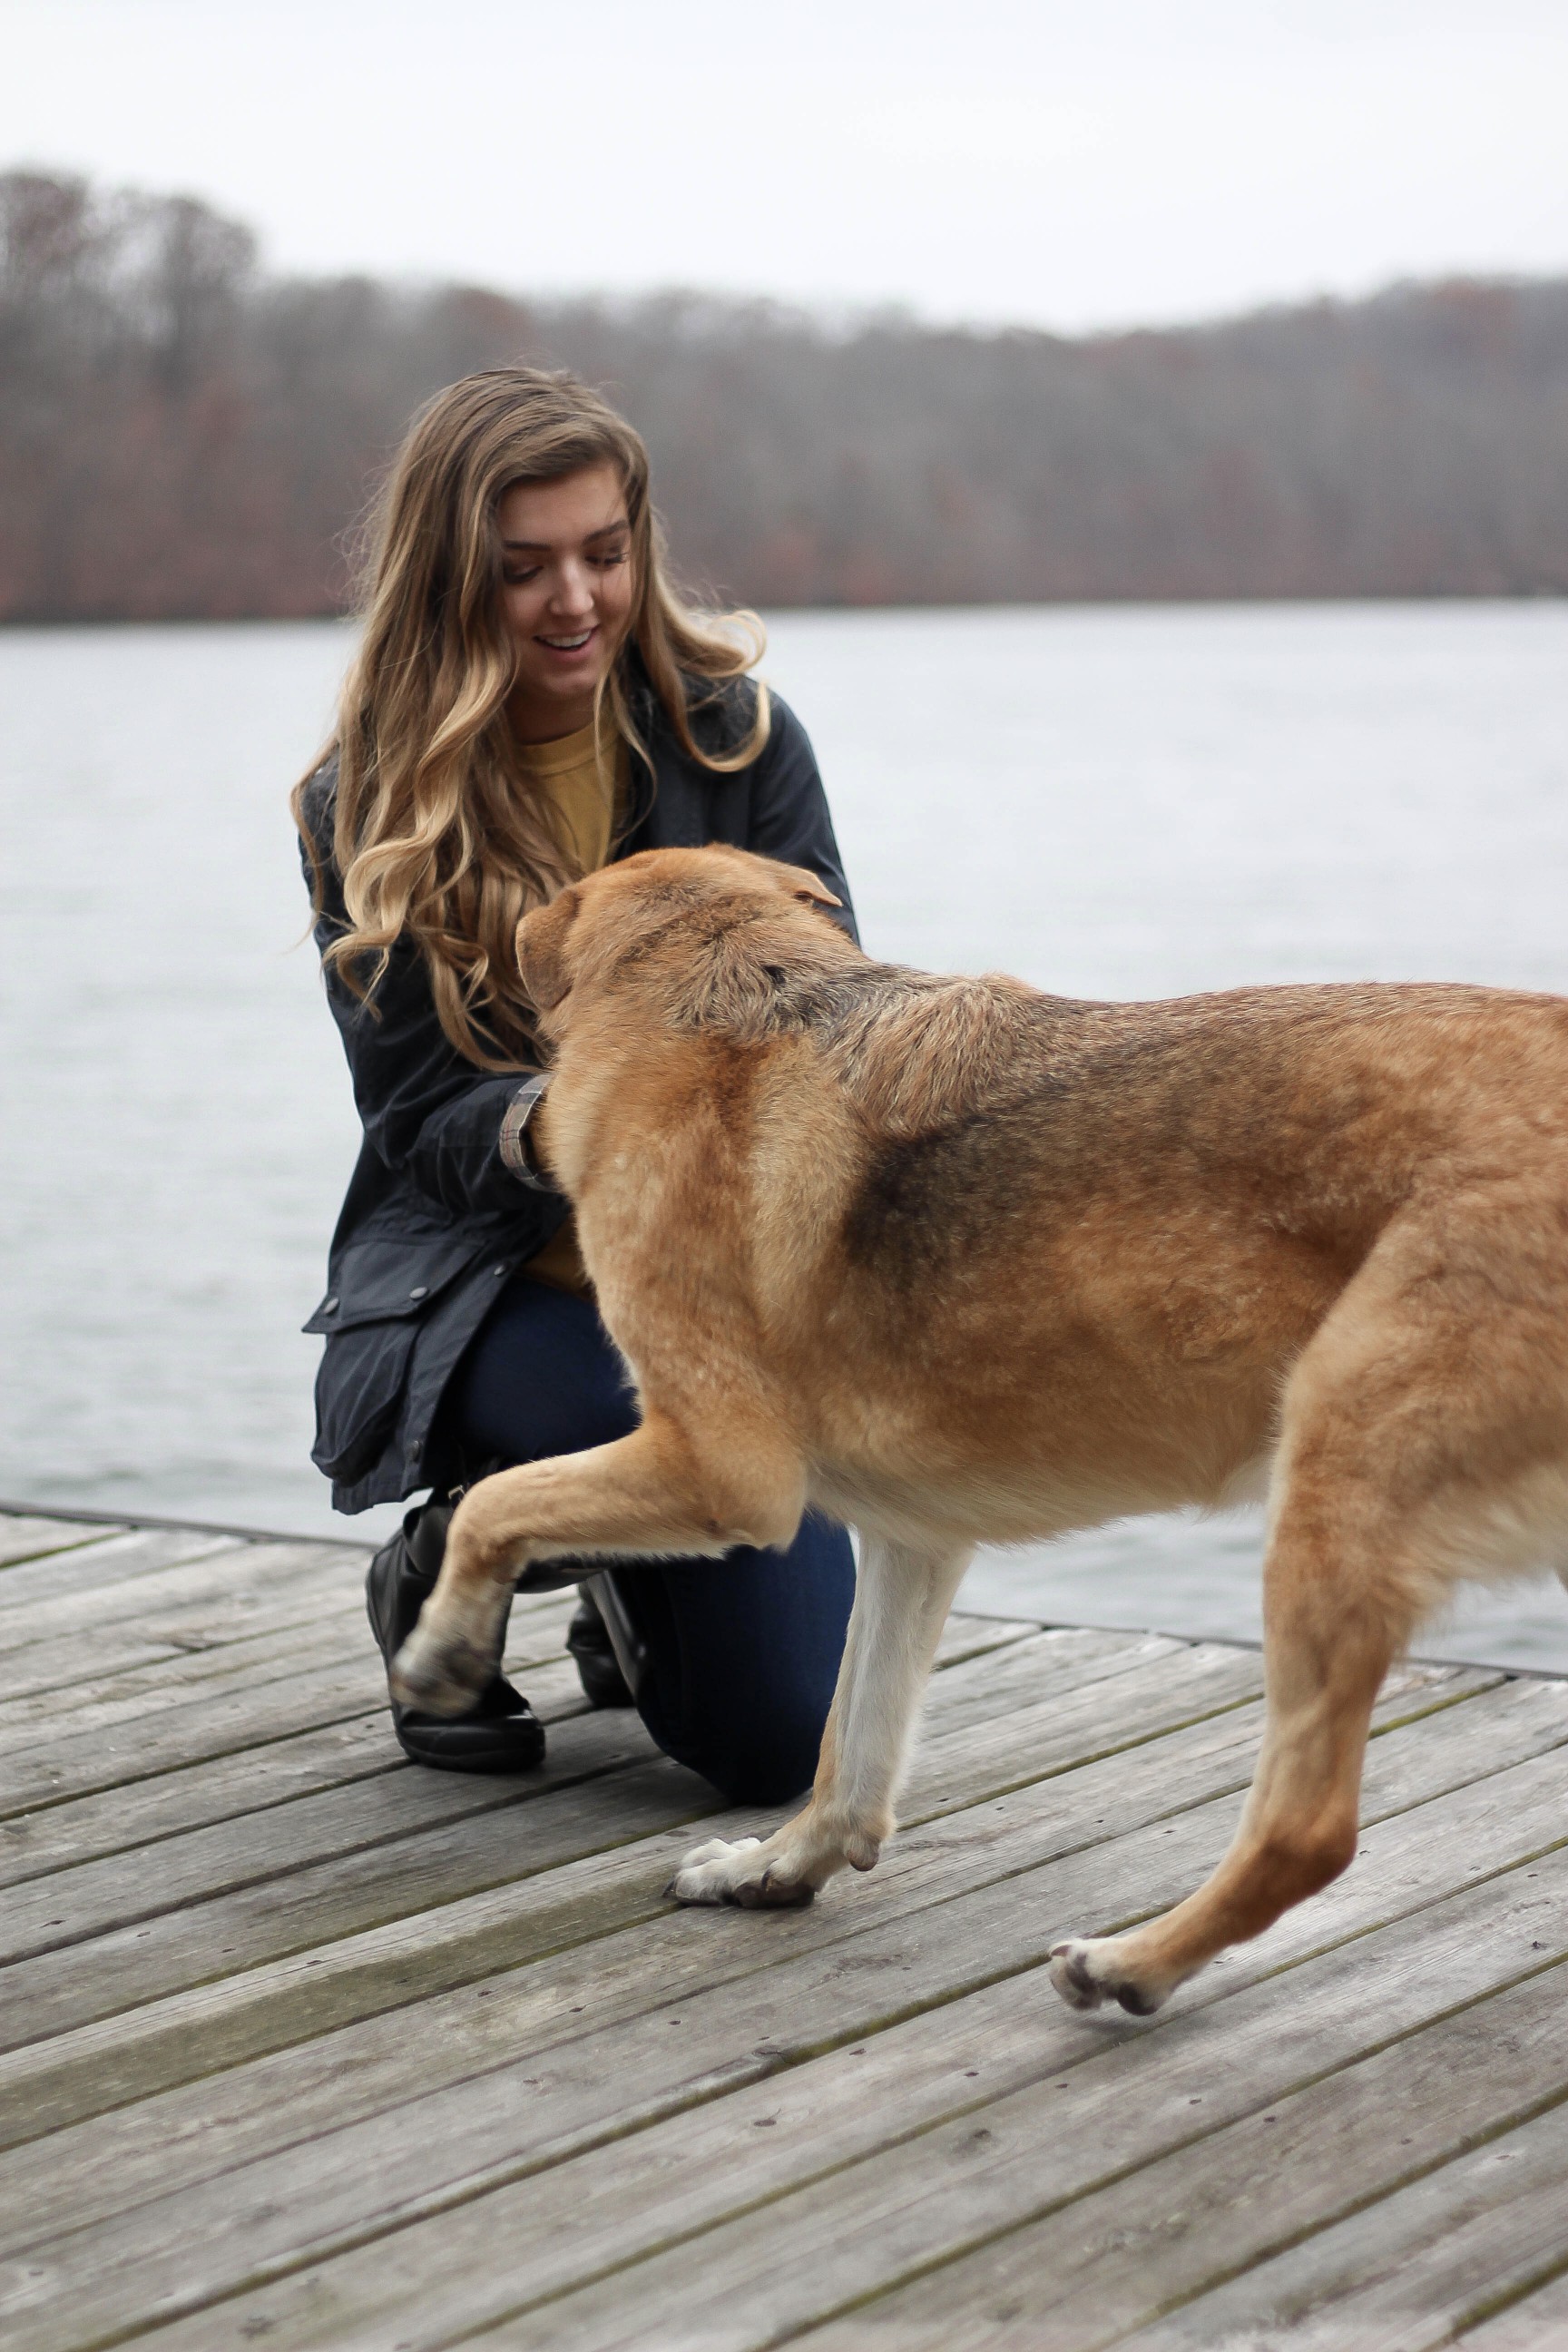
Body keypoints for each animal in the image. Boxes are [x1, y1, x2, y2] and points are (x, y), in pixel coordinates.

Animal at [390, 851, 1568, 2023]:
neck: (728, 997)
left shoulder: (716, 1467)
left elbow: (494, 1504)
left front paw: (444, 1649)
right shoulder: (914, 1541)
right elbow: (852, 1752)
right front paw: (776, 1867)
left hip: (1333, 1492)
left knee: (1305, 1833)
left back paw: (1130, 1965)